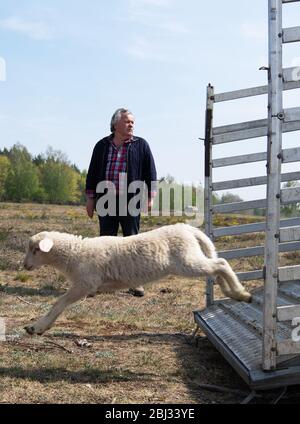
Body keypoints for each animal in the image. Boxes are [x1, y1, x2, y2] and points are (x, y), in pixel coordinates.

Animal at [22, 224, 251, 336]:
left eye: (35, 250)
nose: (24, 266)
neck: (75, 253)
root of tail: (188, 229)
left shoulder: (85, 284)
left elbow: (59, 303)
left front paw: (38, 327)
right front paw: (39, 327)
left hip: (186, 261)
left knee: (221, 263)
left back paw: (241, 293)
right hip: (192, 258)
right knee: (216, 268)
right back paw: (232, 293)